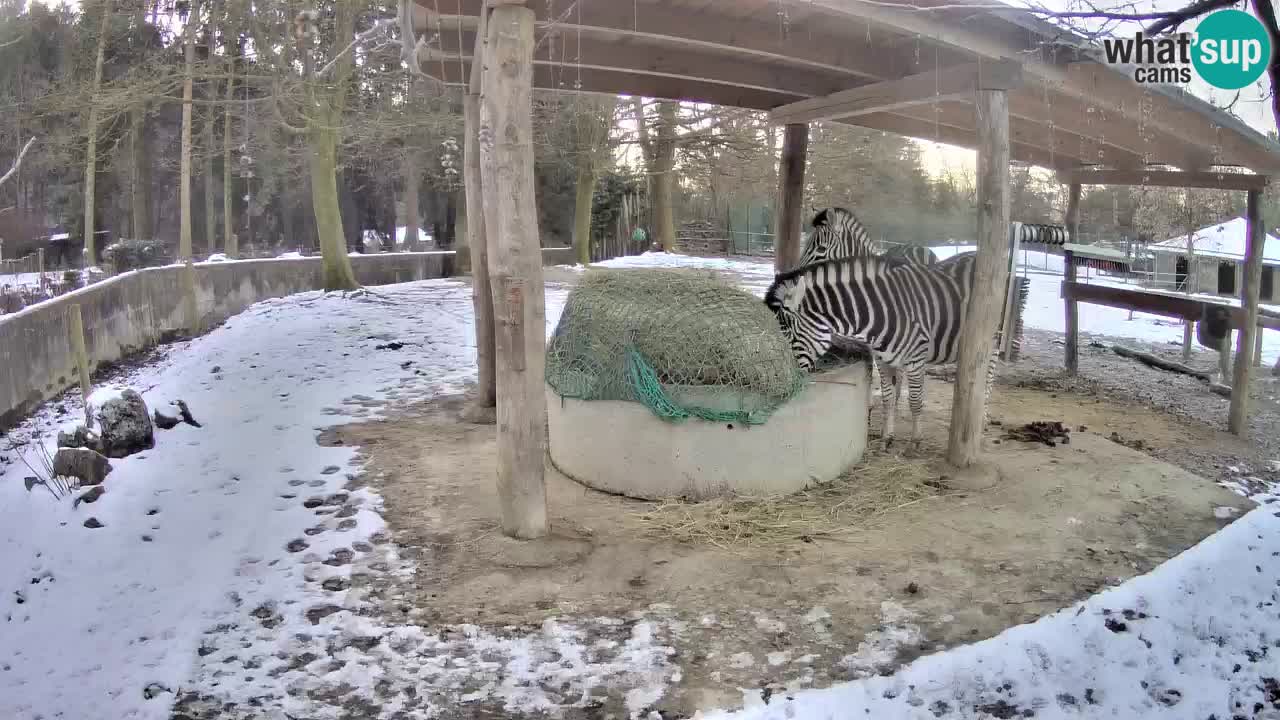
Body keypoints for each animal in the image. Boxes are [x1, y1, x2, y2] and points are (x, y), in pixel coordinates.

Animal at [762, 249, 1003, 445]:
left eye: (786, 335)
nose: (780, 385)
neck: (878, 313)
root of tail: (976, 255)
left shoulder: (916, 358)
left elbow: (915, 400)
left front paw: (915, 441)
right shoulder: (882, 359)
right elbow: (887, 398)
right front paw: (887, 437)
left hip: (993, 339)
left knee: (988, 379)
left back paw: (980, 421)